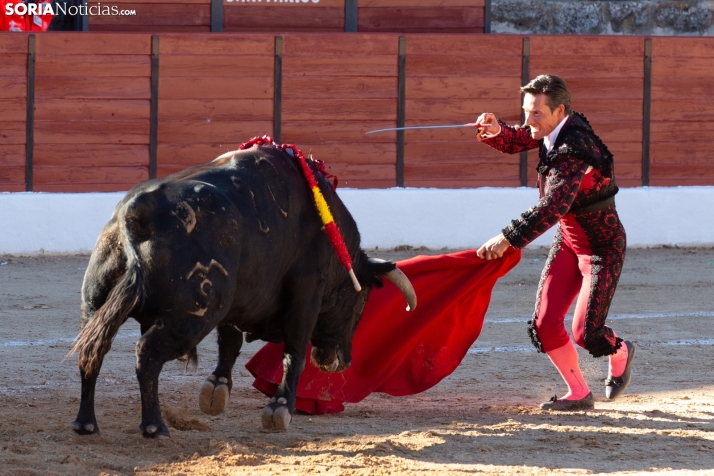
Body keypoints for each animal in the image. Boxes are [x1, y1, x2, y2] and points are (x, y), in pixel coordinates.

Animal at [67, 143, 418, 436]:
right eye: (360, 302)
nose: (340, 361)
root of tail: (136, 210)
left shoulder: (238, 301)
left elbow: (230, 342)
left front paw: (216, 388)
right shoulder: (306, 292)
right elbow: (294, 351)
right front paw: (280, 409)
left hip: (93, 304)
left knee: (91, 352)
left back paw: (86, 424)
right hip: (192, 316)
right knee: (147, 355)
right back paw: (154, 426)